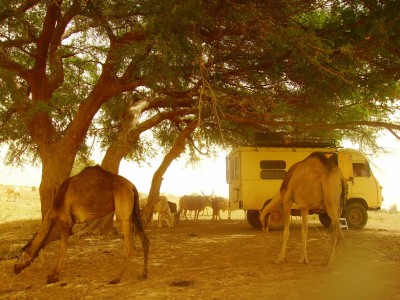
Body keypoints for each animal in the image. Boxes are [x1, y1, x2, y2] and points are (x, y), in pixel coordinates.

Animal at [13, 165, 150, 284]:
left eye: (19, 256)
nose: (15, 268)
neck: (56, 203)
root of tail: (133, 187)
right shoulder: (71, 222)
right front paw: (52, 274)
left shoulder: (64, 219)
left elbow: (62, 248)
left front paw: (53, 276)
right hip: (134, 212)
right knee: (145, 240)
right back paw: (143, 274)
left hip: (123, 211)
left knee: (131, 245)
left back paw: (116, 279)